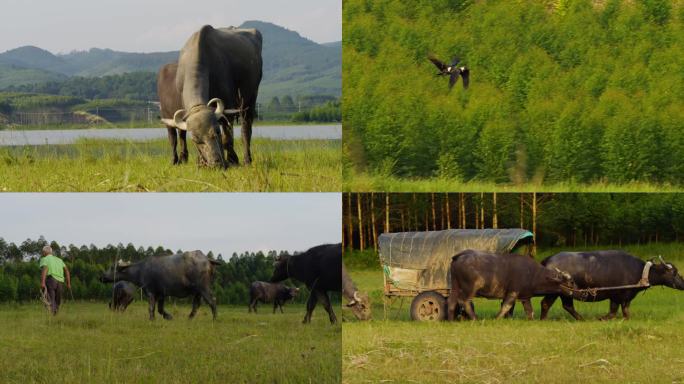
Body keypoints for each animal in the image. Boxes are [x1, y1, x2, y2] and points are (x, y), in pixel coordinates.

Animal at [162, 24, 264, 167]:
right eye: (195, 139)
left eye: (216, 132)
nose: (216, 163)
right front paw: (200, 162)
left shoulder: (228, 105)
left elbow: (227, 137)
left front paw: (232, 160)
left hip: (249, 98)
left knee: (246, 128)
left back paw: (246, 159)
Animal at [446, 249, 576, 320]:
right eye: (571, 282)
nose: (578, 292)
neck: (533, 273)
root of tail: (460, 256)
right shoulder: (513, 292)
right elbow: (506, 306)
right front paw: (497, 318)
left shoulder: (525, 297)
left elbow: (530, 311)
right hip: (470, 288)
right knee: (464, 301)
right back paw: (475, 318)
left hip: (455, 285)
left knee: (452, 301)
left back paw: (451, 320)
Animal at [540, 250, 684, 320]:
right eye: (674, 272)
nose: (683, 284)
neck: (639, 271)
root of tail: (548, 259)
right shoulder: (620, 296)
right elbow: (618, 312)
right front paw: (601, 318)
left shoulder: (620, 298)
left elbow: (618, 312)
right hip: (557, 292)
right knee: (547, 304)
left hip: (564, 293)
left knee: (566, 306)